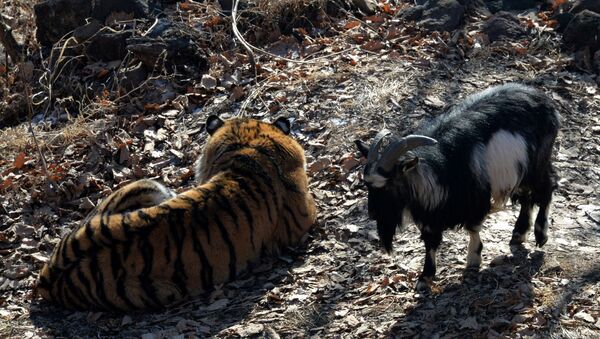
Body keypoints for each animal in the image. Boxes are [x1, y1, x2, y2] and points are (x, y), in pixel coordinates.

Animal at [354, 83, 560, 290]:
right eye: (367, 186)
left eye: (387, 185)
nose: (372, 213)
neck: (440, 165)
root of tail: (545, 101)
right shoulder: (430, 213)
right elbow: (430, 242)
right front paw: (425, 276)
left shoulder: (475, 198)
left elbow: (472, 228)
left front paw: (473, 260)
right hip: (521, 171)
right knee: (527, 197)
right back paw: (518, 233)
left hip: (537, 163)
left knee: (547, 188)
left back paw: (540, 234)